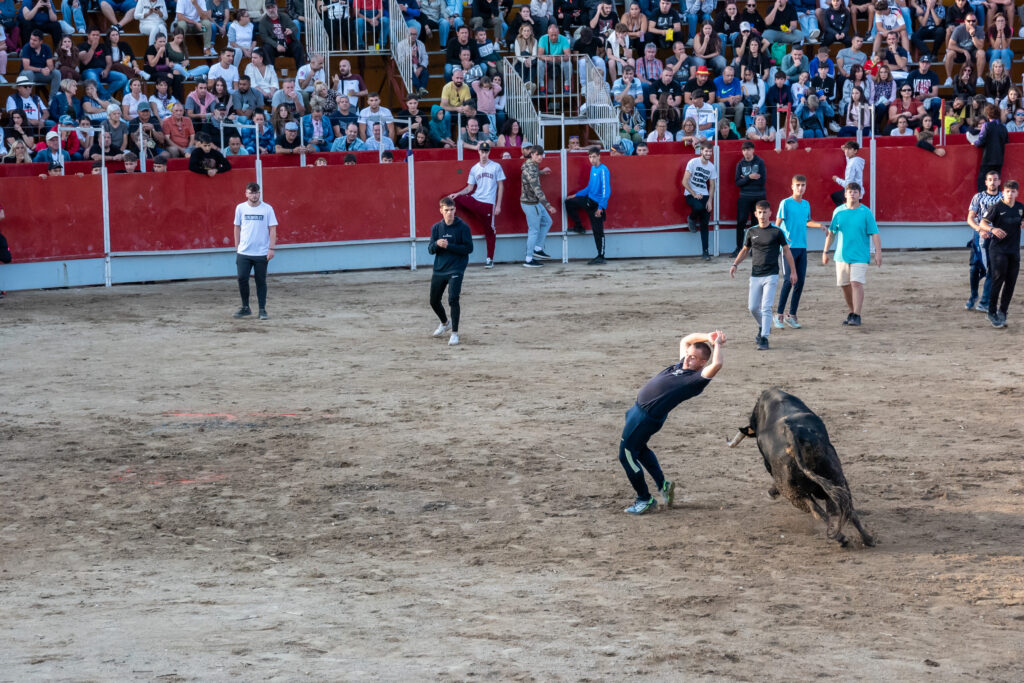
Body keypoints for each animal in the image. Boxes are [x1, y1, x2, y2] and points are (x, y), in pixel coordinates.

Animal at [724, 387, 876, 548]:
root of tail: (792, 435)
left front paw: (771, 492)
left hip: (793, 493)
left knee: (816, 510)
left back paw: (841, 538)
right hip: (837, 477)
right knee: (847, 506)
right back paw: (867, 539)